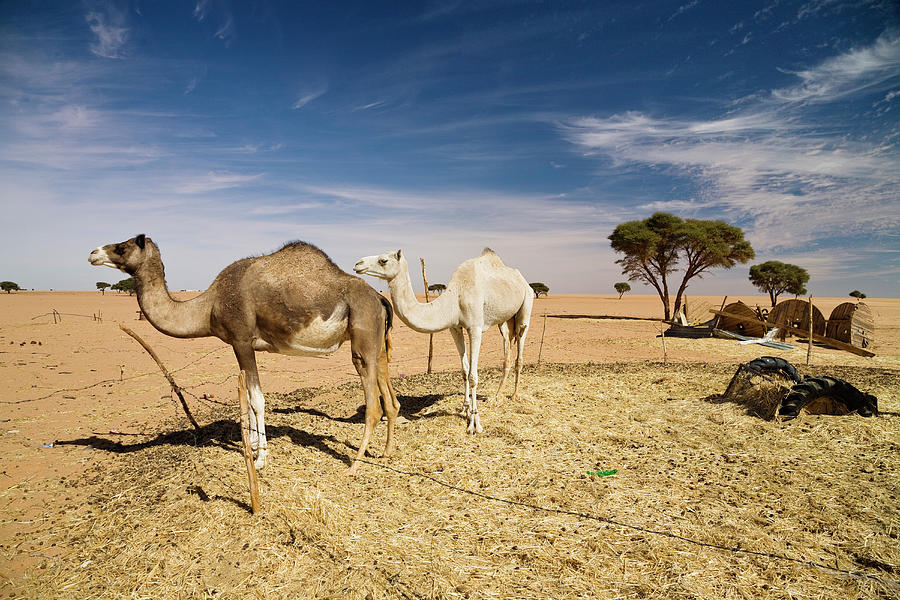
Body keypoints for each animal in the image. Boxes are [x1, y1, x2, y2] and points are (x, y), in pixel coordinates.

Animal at [90, 234, 398, 474]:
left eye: (122, 246)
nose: (93, 253)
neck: (208, 306)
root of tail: (379, 298)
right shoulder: (240, 345)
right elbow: (248, 399)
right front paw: (252, 447)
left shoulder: (241, 340)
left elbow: (257, 400)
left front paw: (260, 459)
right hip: (378, 342)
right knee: (389, 398)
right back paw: (385, 454)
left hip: (362, 337)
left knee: (373, 405)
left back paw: (355, 464)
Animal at [354, 246, 536, 434]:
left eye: (383, 260)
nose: (358, 264)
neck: (455, 298)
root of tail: (523, 281)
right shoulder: (455, 327)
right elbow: (464, 370)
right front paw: (464, 409)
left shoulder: (475, 328)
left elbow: (473, 376)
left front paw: (474, 422)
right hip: (504, 321)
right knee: (507, 345)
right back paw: (497, 395)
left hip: (525, 307)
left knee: (520, 346)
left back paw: (515, 395)